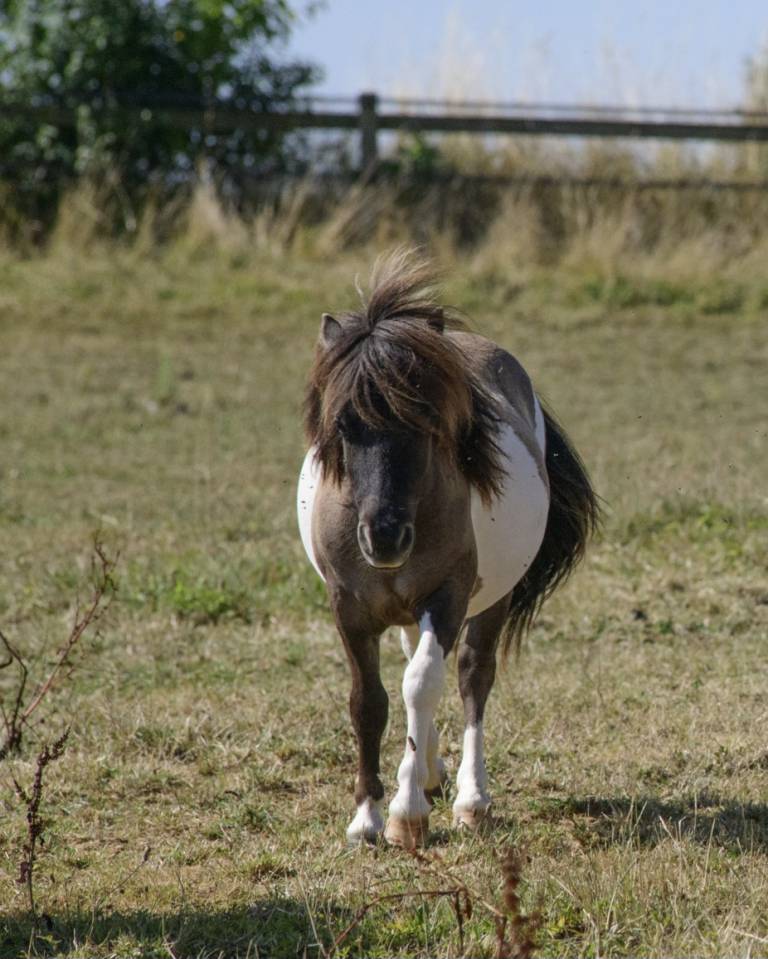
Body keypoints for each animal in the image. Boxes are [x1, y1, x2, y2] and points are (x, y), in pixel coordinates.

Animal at [297, 252, 599, 848]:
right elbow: (368, 700)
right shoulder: (348, 606)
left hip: (493, 598)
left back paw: (469, 799)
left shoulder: (448, 595)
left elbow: (422, 684)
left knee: (470, 676)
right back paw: (430, 771)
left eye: (426, 422)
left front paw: (406, 815)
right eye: (343, 423)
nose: (384, 537)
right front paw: (366, 816)